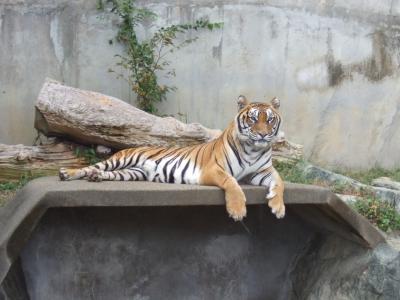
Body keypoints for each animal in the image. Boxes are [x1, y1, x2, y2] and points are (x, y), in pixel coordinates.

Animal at [59, 95, 284, 221]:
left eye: (269, 120)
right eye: (252, 119)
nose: (263, 134)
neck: (253, 150)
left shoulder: (262, 172)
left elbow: (280, 183)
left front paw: (278, 208)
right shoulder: (213, 169)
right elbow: (232, 183)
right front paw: (237, 211)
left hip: (132, 173)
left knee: (105, 173)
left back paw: (97, 178)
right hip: (120, 159)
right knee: (93, 166)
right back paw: (66, 173)